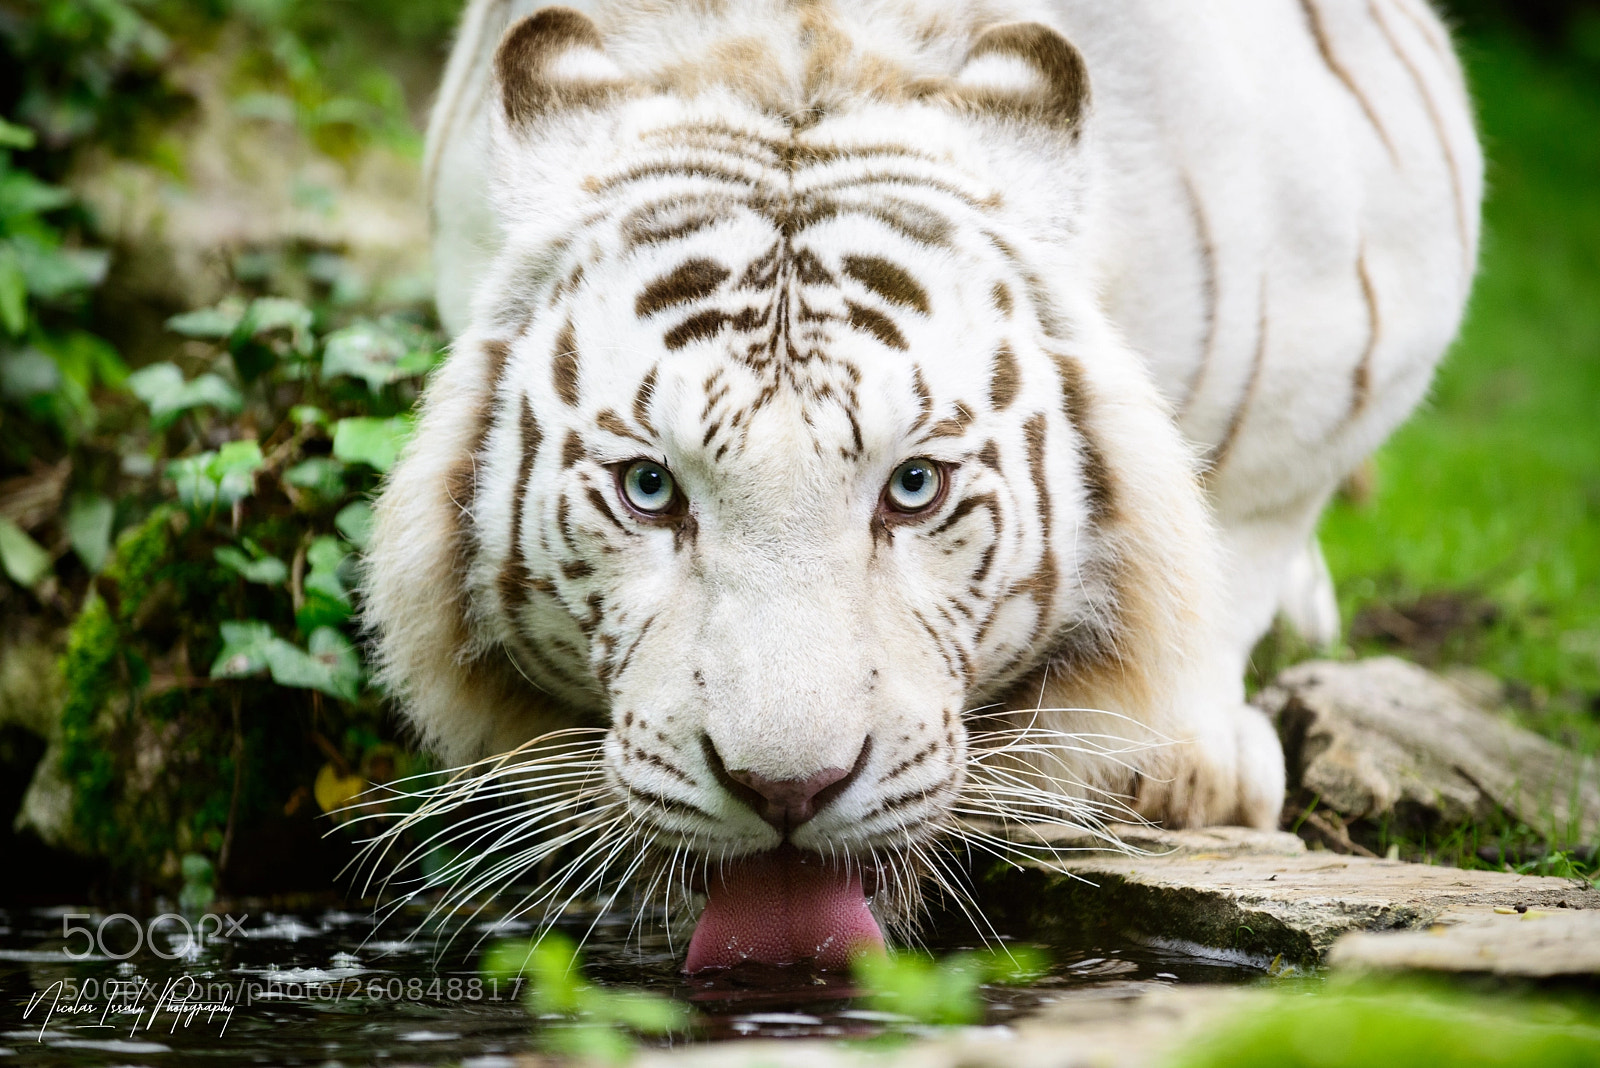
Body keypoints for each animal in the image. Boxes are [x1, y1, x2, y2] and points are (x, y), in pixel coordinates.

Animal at [363, 0, 1480, 970]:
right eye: (648, 487)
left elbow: (1239, 524)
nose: (786, 791)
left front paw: (1188, 769)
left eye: (912, 487)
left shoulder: (1341, 328)